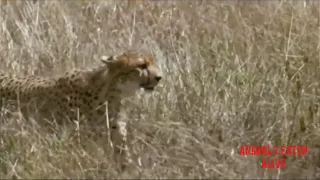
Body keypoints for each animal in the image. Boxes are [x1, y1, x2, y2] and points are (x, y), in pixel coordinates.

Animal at [0, 50, 161, 170]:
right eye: (142, 65)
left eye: (152, 62)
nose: (159, 77)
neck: (111, 93)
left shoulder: (116, 136)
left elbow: (123, 158)